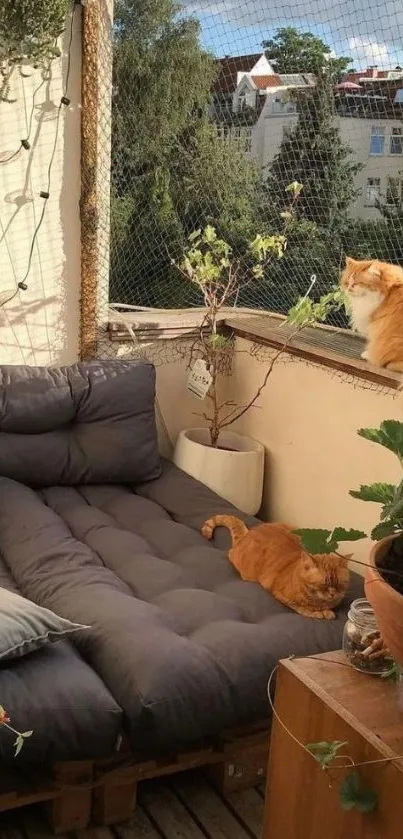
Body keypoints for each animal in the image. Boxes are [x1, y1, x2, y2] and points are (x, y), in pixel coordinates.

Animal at [202, 516, 350, 620]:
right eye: (323, 584)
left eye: (340, 584)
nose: (333, 594)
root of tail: (248, 534)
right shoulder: (281, 595)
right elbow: (302, 608)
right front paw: (319, 613)